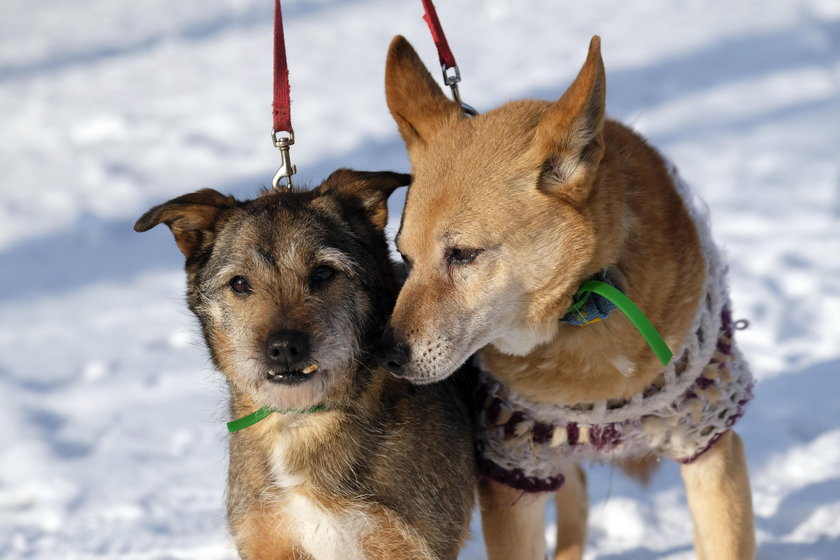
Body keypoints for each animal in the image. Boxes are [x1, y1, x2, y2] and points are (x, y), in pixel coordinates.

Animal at [138, 168, 480, 556]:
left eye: (323, 273)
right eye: (239, 283)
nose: (284, 348)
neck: (300, 422)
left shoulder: (408, 541)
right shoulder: (266, 537)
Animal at [378, 36, 756, 560]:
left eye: (463, 254)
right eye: (404, 256)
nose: (388, 356)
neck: (584, 308)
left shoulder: (709, 443)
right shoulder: (515, 468)